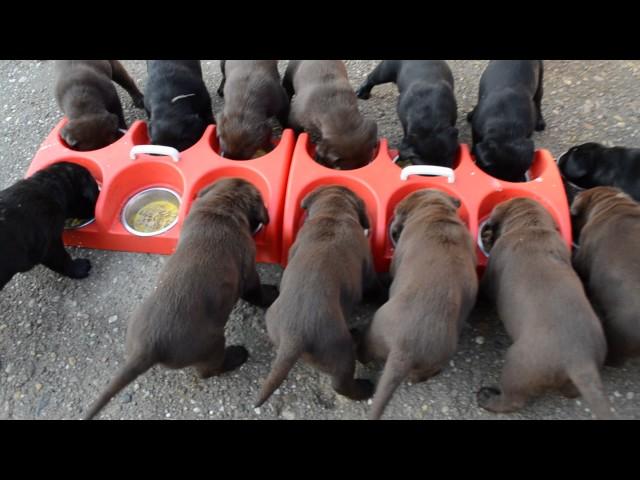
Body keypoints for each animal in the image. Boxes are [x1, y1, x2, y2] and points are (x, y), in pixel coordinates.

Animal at [84, 178, 278, 418]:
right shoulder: (248, 272)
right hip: (212, 343)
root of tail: (148, 347)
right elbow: (256, 293)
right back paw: (236, 356)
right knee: (209, 370)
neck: (221, 207)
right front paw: (272, 295)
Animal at [252, 186, 378, 406]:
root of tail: (294, 336)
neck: (333, 212)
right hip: (340, 353)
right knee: (341, 384)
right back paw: (364, 388)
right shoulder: (368, 269)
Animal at [358, 189, 478, 418]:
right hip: (435, 359)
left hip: (374, 330)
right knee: (425, 373)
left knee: (364, 353)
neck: (437, 211)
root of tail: (405, 349)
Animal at [480, 197, 616, 418]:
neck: (531, 227)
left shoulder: (489, 277)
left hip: (517, 365)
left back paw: (486, 398)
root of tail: (580, 360)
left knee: (513, 400)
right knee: (570, 391)